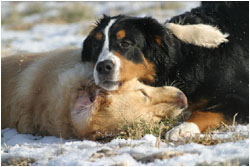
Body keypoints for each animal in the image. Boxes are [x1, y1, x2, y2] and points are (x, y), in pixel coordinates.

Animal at [81, 1, 248, 140]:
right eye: (96, 45)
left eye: (126, 43)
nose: (103, 67)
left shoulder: (240, 96)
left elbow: (205, 112)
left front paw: (182, 129)